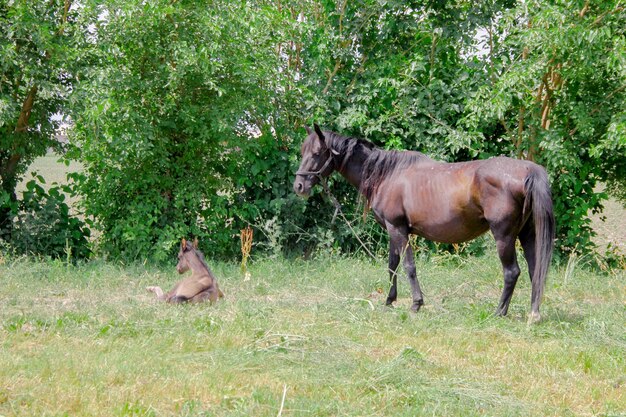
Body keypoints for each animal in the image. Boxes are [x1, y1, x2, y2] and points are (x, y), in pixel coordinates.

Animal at [292, 123, 552, 322]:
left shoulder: (399, 229)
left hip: (504, 236)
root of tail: (528, 170)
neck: (387, 174)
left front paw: (416, 303)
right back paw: (534, 314)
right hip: (527, 234)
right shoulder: (392, 230)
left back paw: (499, 312)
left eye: (317, 153)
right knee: (535, 269)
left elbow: (408, 266)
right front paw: (389, 300)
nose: (299, 186)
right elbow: (392, 264)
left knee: (512, 272)